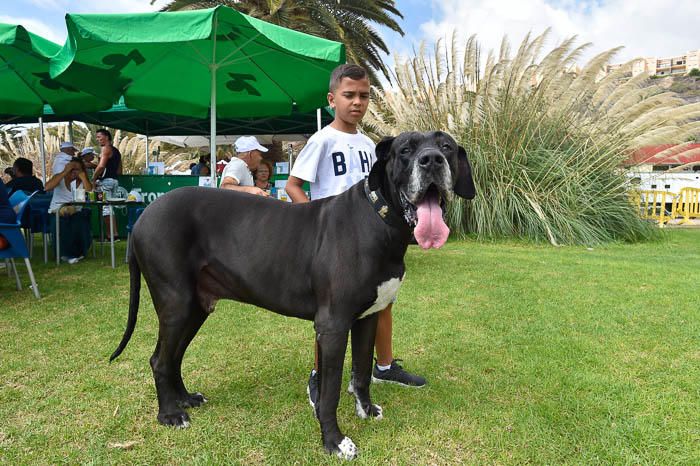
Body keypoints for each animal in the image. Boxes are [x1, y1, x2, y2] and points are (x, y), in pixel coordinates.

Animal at [110, 130, 476, 458]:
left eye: (446, 146)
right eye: (405, 150)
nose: (432, 161)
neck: (380, 220)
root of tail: (143, 218)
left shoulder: (368, 318)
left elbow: (361, 373)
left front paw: (366, 410)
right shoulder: (333, 325)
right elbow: (329, 391)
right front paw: (335, 442)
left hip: (197, 307)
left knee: (173, 357)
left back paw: (185, 399)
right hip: (177, 304)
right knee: (160, 359)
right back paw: (170, 414)